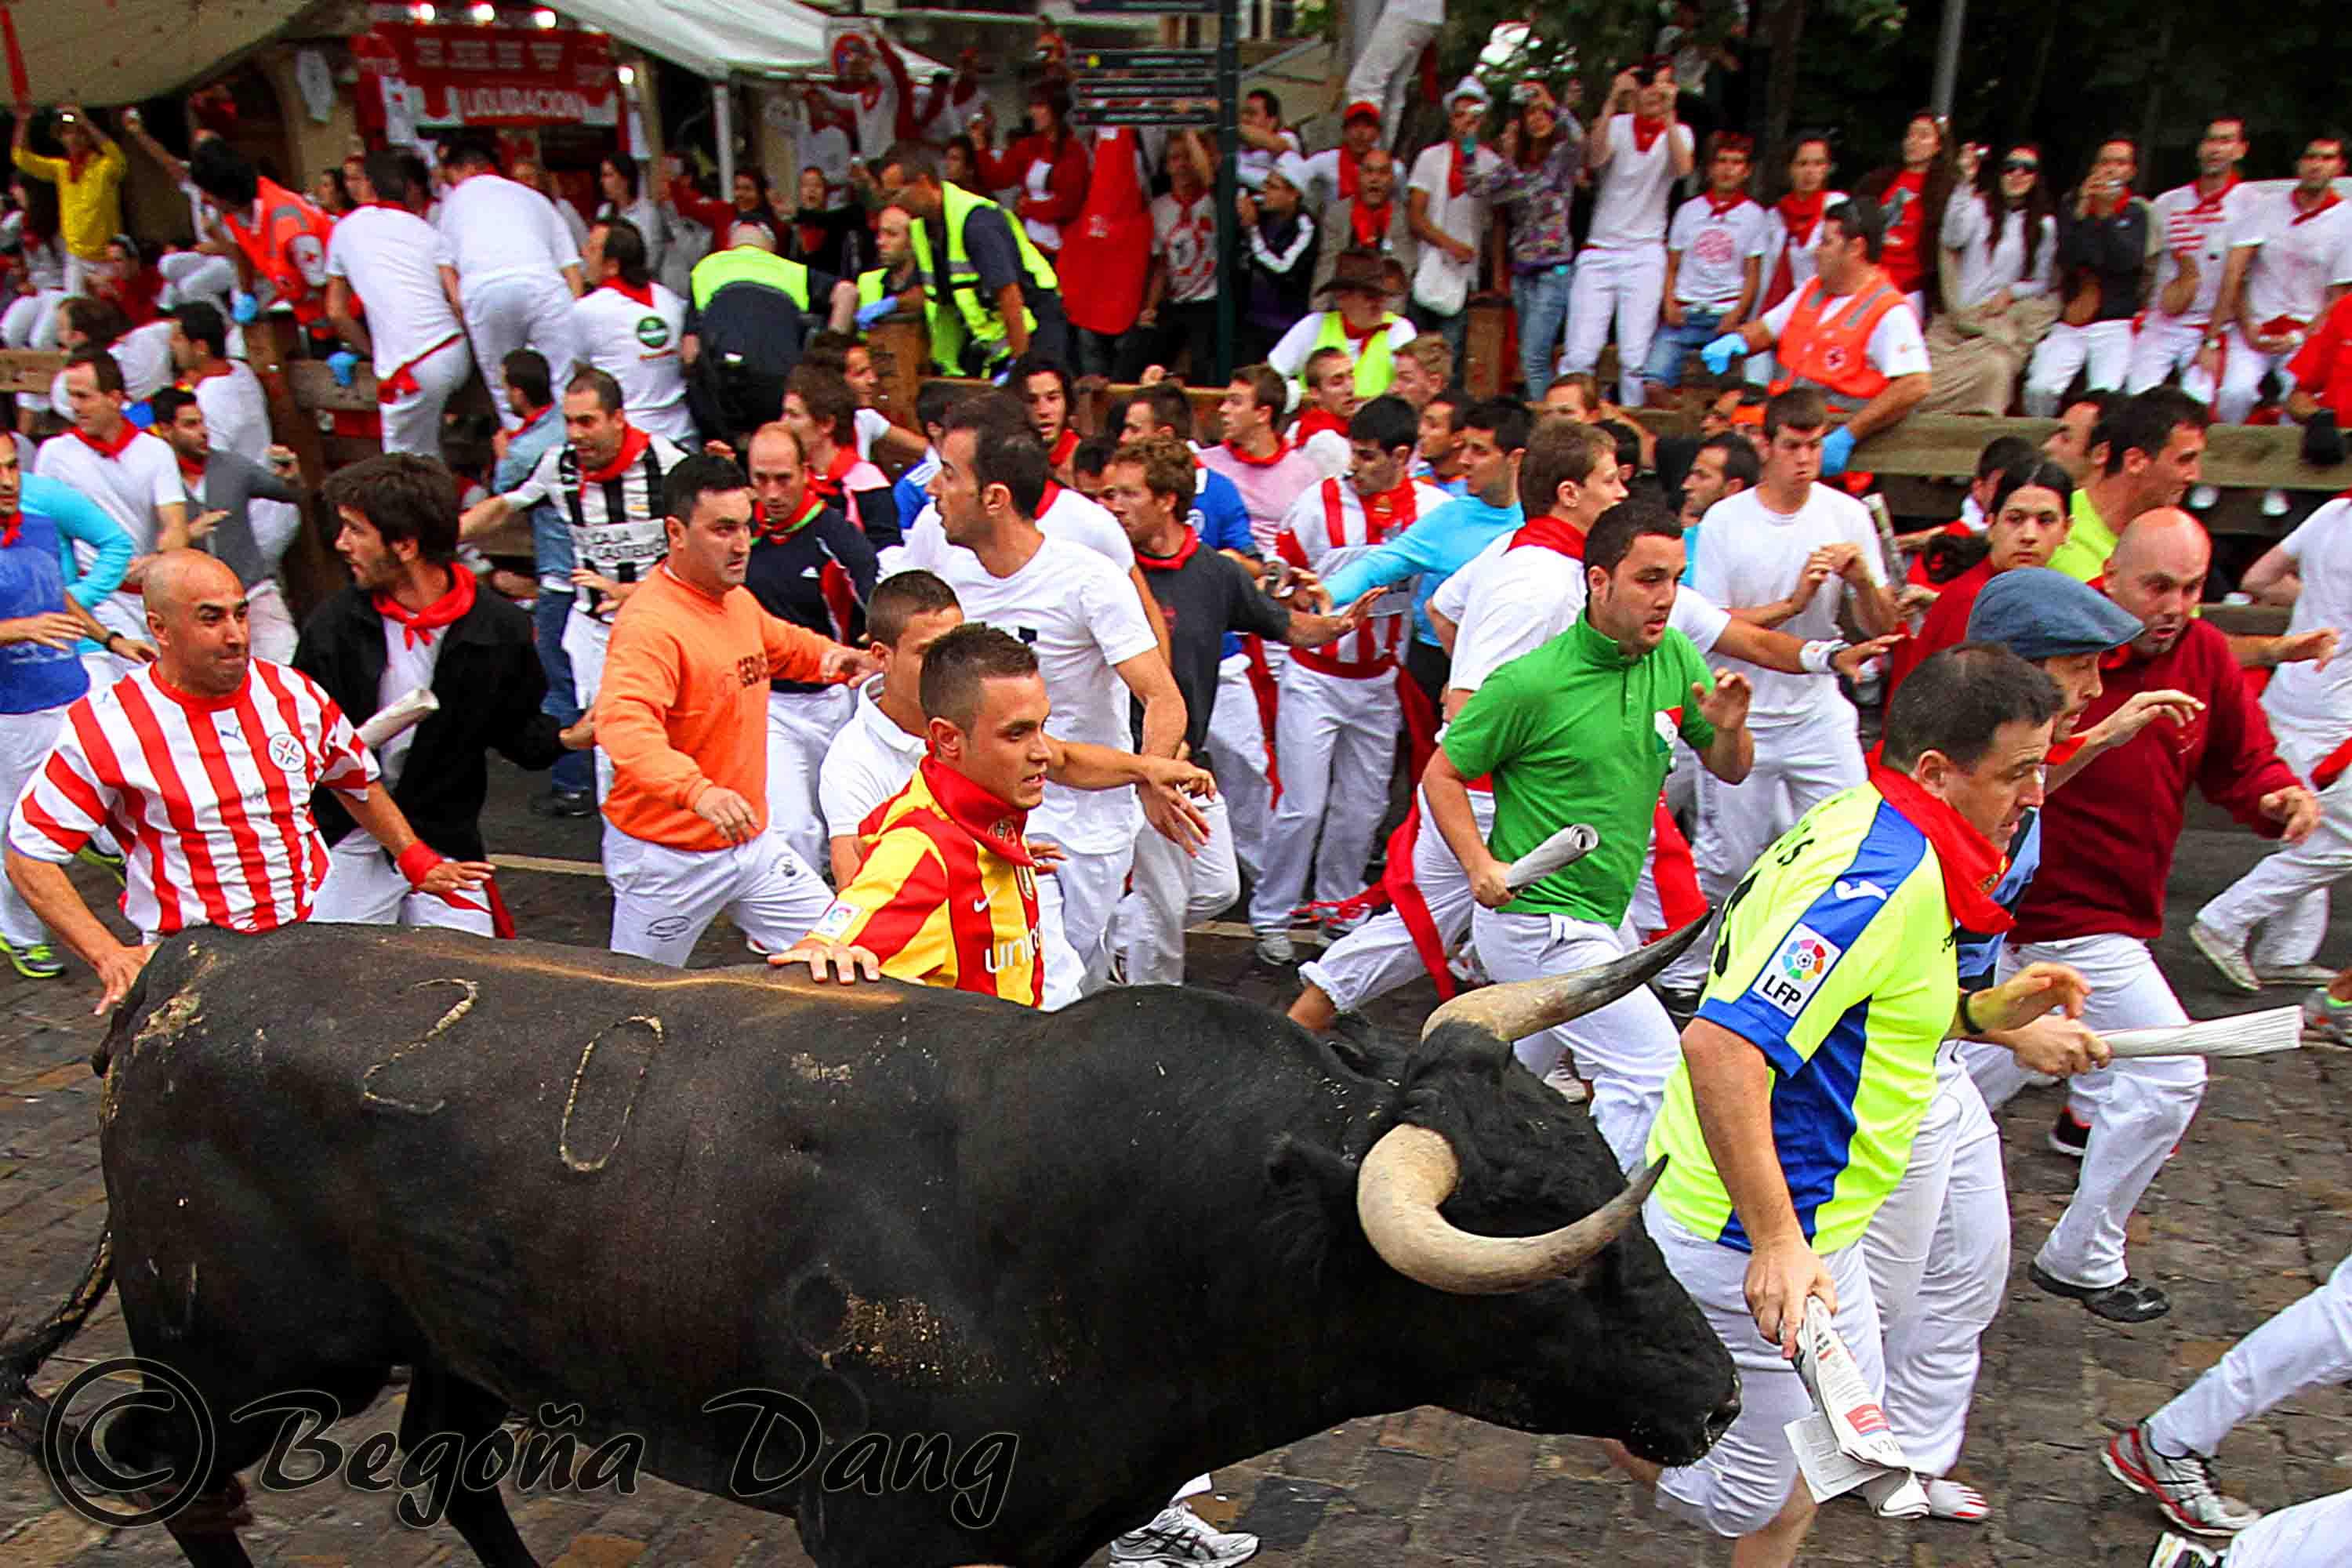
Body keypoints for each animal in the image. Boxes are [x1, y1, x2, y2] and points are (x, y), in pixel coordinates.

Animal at [0, 926, 1731, 1561]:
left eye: (1591, 1166)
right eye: (1547, 1244)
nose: (1718, 1393)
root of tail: (181, 972)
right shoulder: (872, 1526)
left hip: (462, 1344)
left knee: (458, 1471)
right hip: (231, 1354)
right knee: (185, 1481)